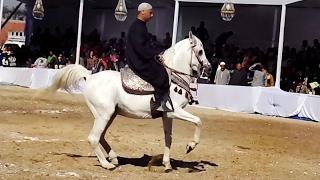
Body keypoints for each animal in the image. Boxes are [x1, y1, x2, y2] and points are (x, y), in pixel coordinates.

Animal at [45, 32, 210, 172]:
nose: (208, 68)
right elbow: (198, 121)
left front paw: (167, 164)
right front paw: (190, 146)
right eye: (201, 51)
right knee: (93, 138)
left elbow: (168, 138)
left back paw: (113, 158)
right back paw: (107, 164)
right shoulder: (176, 111)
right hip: (104, 115)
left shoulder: (167, 115)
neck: (174, 78)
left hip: (110, 115)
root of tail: (90, 76)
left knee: (101, 136)